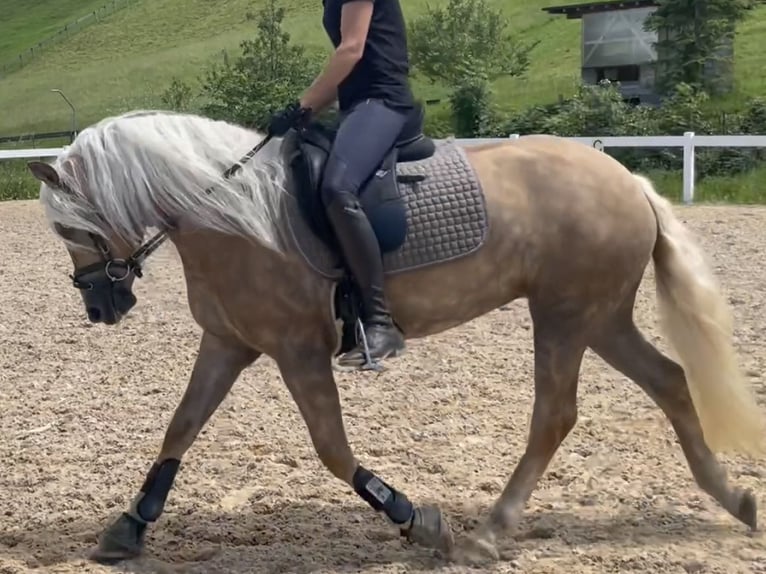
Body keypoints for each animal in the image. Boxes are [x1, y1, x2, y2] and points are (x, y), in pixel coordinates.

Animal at [27, 110, 764, 568]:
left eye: (71, 226)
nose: (99, 307)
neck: (233, 217)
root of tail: (628, 181)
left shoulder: (297, 351)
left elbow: (331, 450)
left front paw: (418, 521)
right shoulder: (229, 343)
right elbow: (180, 426)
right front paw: (128, 527)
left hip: (564, 315)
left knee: (556, 413)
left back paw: (486, 535)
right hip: (599, 316)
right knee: (671, 381)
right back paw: (736, 499)